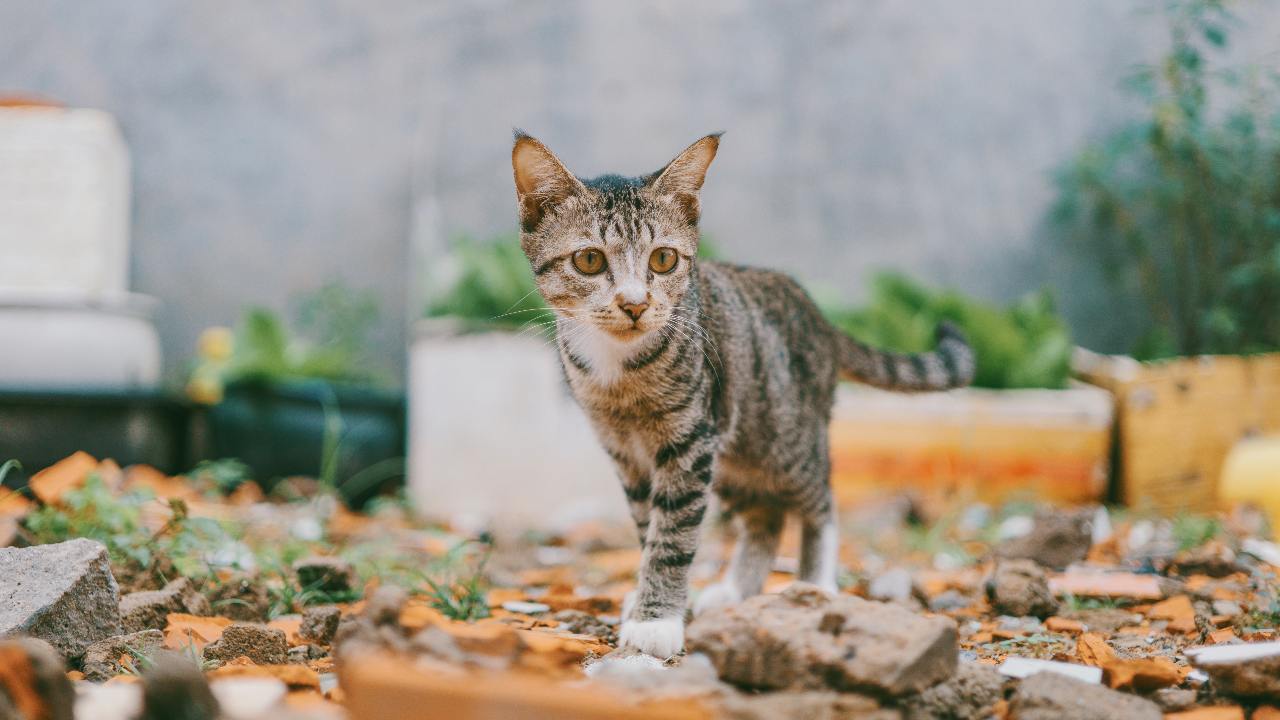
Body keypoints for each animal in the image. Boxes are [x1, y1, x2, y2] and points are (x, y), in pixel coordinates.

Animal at [506, 130, 967, 655]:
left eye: (663, 258)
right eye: (588, 260)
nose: (635, 304)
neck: (619, 373)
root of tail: (821, 319)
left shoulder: (689, 441)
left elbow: (674, 536)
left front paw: (656, 620)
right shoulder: (626, 454)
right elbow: (648, 528)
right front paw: (649, 598)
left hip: (783, 437)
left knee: (820, 500)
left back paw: (816, 584)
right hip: (734, 454)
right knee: (767, 517)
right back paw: (735, 591)